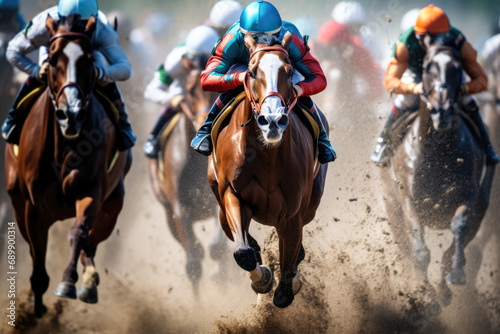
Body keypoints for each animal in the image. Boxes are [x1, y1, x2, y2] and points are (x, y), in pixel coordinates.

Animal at [3, 15, 132, 316]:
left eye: (89, 59)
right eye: (52, 58)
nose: (71, 114)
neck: (63, 145)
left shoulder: (91, 191)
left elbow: (79, 233)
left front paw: (68, 282)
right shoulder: (33, 208)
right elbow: (38, 265)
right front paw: (36, 310)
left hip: (113, 203)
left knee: (91, 243)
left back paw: (88, 281)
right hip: (17, 202)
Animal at [146, 55, 222, 298]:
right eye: (190, 91)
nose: (206, 123)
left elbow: (217, 249)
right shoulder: (179, 209)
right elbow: (193, 263)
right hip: (168, 216)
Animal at [207, 32, 328, 310]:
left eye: (290, 71)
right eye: (251, 72)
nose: (272, 120)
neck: (267, 156)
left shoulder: (292, 212)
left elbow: (287, 273)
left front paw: (287, 285)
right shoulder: (231, 194)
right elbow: (243, 253)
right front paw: (262, 279)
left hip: (312, 203)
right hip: (219, 203)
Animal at [382, 41, 496, 316]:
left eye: (457, 68)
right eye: (426, 68)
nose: (442, 111)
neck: (437, 151)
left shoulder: (470, 195)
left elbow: (460, 226)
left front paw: (454, 274)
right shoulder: (407, 197)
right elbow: (419, 249)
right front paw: (426, 297)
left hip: (483, 206)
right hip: (391, 207)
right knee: (405, 247)